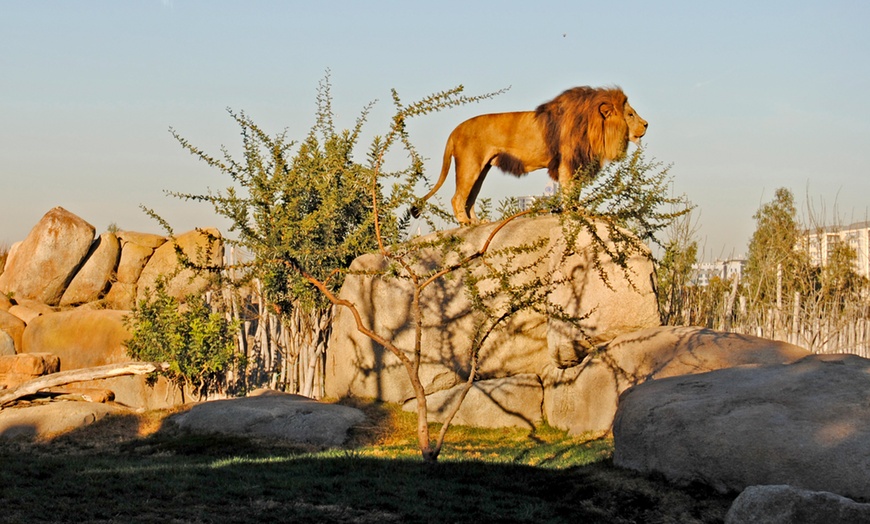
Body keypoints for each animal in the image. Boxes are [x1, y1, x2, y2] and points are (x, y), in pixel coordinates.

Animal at [414, 85, 648, 223]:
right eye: (630, 114)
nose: (646, 124)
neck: (593, 126)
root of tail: (454, 131)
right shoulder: (567, 162)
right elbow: (569, 190)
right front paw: (573, 212)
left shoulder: (576, 163)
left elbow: (576, 191)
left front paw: (578, 210)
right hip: (469, 164)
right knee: (457, 198)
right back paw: (464, 224)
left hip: (481, 169)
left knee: (469, 199)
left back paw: (477, 224)